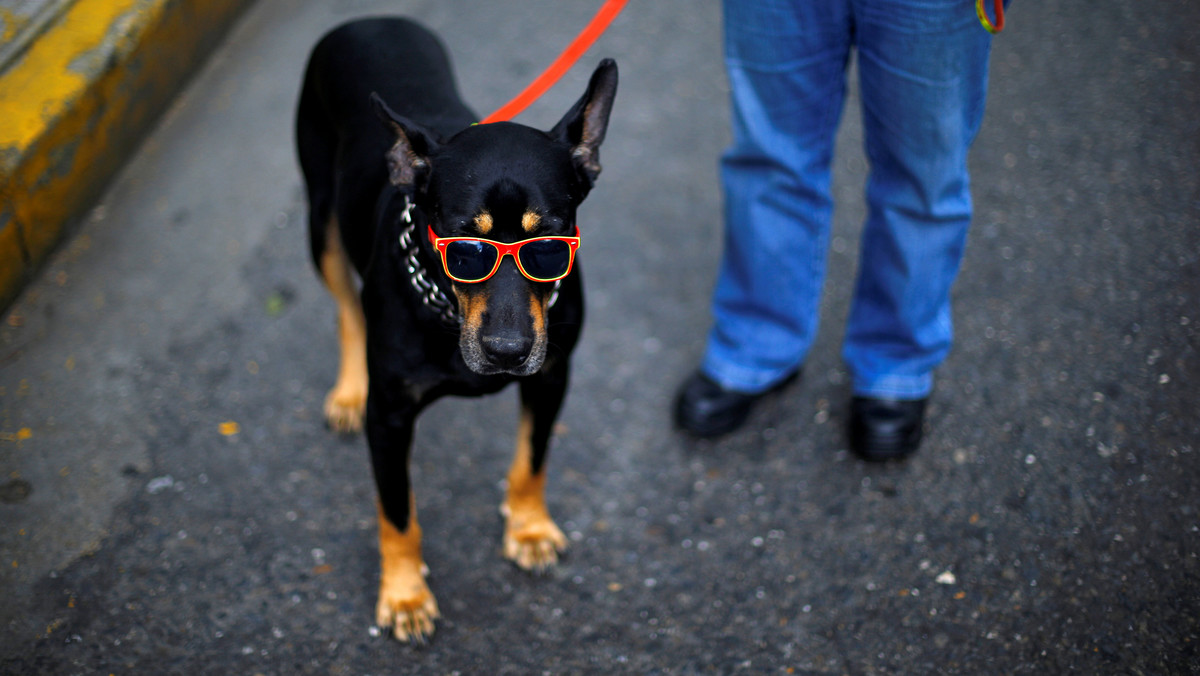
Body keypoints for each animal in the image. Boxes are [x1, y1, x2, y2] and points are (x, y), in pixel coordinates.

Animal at [294, 18, 614, 643]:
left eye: (550, 244)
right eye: (465, 248)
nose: (508, 351)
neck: (446, 310)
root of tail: (367, 20)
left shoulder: (552, 377)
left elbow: (531, 460)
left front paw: (528, 529)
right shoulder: (390, 417)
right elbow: (398, 514)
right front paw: (404, 595)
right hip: (321, 222)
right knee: (346, 306)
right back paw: (347, 390)